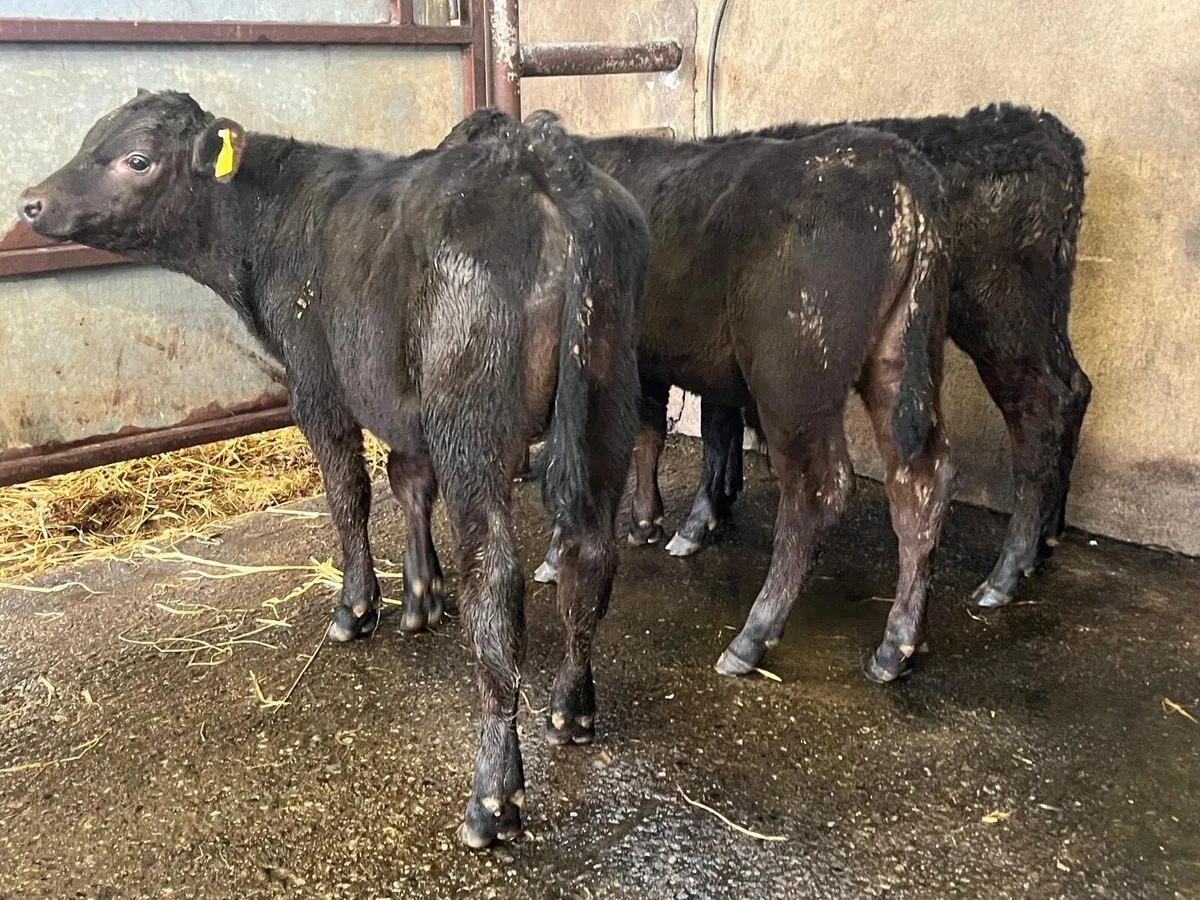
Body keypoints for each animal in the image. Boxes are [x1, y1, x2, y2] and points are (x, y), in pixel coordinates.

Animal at [18, 92, 650, 848]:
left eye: (135, 159)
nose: (30, 201)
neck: (276, 216)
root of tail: (539, 162)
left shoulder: (319, 386)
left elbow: (348, 495)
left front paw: (358, 607)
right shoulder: (399, 401)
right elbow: (408, 482)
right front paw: (421, 597)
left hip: (471, 424)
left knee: (498, 583)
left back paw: (493, 795)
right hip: (609, 400)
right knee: (591, 554)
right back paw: (572, 709)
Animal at [444, 109, 956, 684]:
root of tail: (898, 164)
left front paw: (558, 557)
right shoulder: (641, 361)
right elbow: (647, 434)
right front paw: (646, 521)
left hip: (793, 385)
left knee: (818, 493)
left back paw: (753, 637)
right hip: (899, 361)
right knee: (920, 479)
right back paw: (898, 644)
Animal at [632, 106, 1091, 612]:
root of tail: (1046, 133)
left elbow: (715, 430)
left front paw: (695, 523)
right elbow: (721, 425)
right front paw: (716, 508)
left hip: (1001, 316)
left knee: (1041, 411)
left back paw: (1007, 572)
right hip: (1042, 319)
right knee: (1074, 391)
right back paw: (1044, 545)